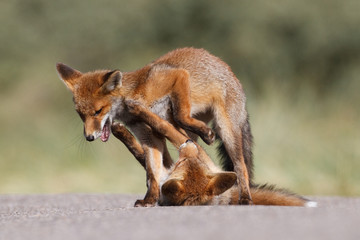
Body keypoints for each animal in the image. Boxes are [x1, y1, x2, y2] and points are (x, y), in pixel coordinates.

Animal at [56, 47, 253, 206]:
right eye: (81, 115)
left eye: (97, 111)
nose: (89, 137)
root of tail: (224, 65)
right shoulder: (147, 135)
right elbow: (153, 171)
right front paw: (150, 199)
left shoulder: (177, 76)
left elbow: (181, 115)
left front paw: (208, 134)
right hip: (188, 135)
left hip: (226, 130)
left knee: (240, 166)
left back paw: (245, 197)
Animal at [111, 101, 316, 206]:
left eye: (182, 163)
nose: (189, 145)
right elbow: (141, 153)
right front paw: (122, 130)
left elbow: (162, 127)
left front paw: (134, 112)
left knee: (170, 130)